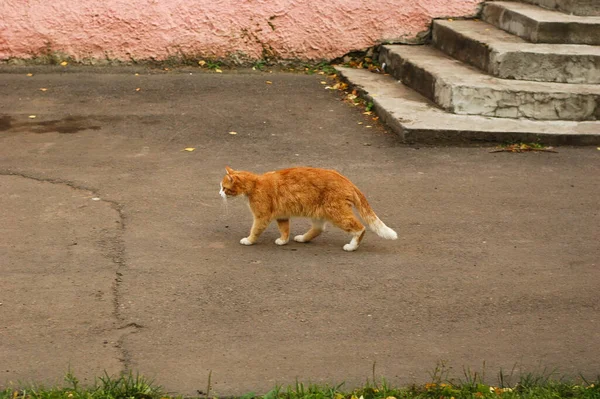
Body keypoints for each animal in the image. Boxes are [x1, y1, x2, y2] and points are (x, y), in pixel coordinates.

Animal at [218, 167, 396, 252]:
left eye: (224, 188)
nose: (219, 193)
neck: (255, 184)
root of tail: (346, 180)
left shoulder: (262, 217)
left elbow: (255, 230)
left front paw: (249, 240)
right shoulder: (282, 216)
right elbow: (285, 230)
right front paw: (283, 241)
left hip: (337, 213)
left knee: (360, 228)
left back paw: (352, 246)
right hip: (318, 212)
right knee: (318, 229)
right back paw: (303, 238)